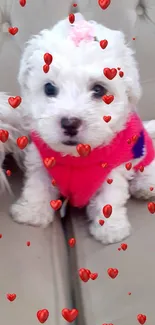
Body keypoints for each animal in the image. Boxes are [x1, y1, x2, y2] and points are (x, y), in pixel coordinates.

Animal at [10, 7, 155, 243]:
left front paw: (110, 229)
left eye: (99, 90)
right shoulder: (41, 160)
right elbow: (37, 185)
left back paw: (144, 186)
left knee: (147, 166)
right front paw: (32, 212)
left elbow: (109, 198)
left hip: (143, 148)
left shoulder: (113, 169)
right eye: (49, 88)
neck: (76, 158)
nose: (70, 123)